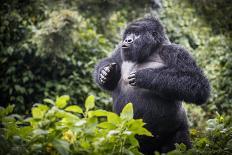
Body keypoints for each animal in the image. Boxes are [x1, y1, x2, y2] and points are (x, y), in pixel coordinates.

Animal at [93, 17, 210, 154]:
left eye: (137, 33)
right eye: (128, 34)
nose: (127, 40)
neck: (152, 50)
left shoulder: (176, 52)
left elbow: (198, 84)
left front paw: (145, 76)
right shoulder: (119, 49)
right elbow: (111, 61)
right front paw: (106, 74)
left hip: (178, 131)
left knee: (179, 144)